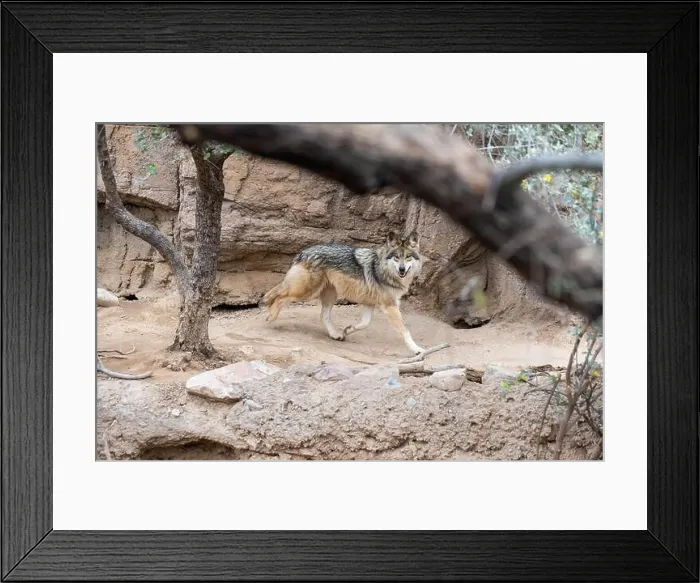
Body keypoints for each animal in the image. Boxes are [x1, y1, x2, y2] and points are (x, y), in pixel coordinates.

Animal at [260, 230, 426, 355]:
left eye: (408, 257)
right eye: (396, 257)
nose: (402, 270)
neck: (383, 269)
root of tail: (303, 252)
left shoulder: (370, 303)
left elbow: (364, 323)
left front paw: (348, 329)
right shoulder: (390, 306)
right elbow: (405, 330)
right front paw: (417, 350)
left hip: (329, 295)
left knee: (323, 315)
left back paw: (335, 334)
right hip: (306, 292)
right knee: (280, 297)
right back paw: (271, 316)